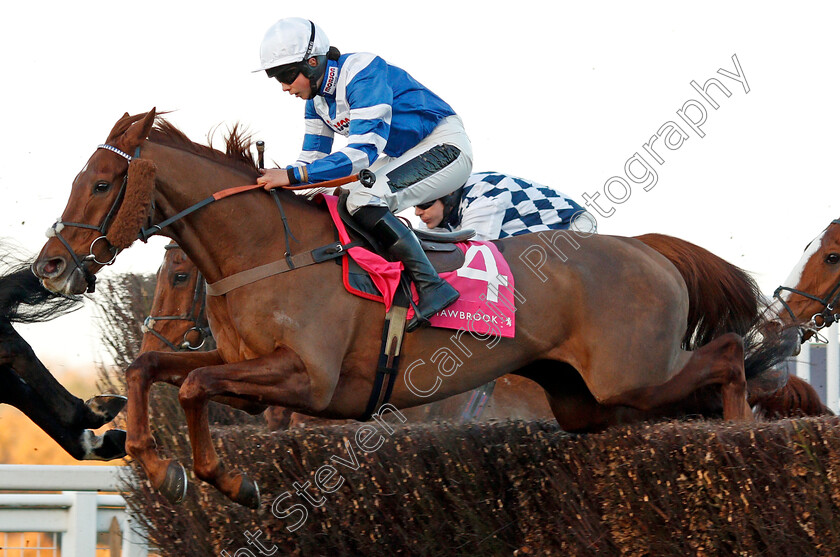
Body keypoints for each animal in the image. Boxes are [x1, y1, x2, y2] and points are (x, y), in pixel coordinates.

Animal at [31, 111, 796, 506]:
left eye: (100, 183)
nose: (50, 266)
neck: (271, 250)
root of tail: (648, 249)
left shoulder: (307, 379)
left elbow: (189, 382)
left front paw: (222, 476)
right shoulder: (250, 373)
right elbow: (155, 371)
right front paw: (162, 467)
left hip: (628, 376)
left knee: (727, 355)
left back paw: (740, 435)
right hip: (587, 400)